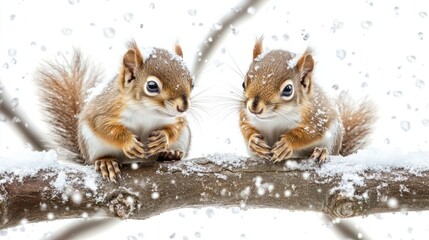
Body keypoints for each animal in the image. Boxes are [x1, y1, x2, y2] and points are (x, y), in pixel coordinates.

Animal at [36, 40, 193, 181]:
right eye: (152, 86)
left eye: (192, 82)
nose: (183, 107)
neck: (146, 111)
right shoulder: (105, 109)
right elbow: (104, 126)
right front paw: (129, 142)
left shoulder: (176, 118)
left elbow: (176, 127)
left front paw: (162, 138)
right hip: (92, 143)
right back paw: (106, 162)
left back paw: (171, 153)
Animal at [241, 38, 374, 163]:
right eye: (243, 84)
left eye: (288, 89)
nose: (254, 107)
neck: (275, 117)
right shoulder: (245, 114)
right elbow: (245, 127)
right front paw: (254, 141)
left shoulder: (316, 117)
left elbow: (310, 133)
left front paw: (287, 143)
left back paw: (321, 151)